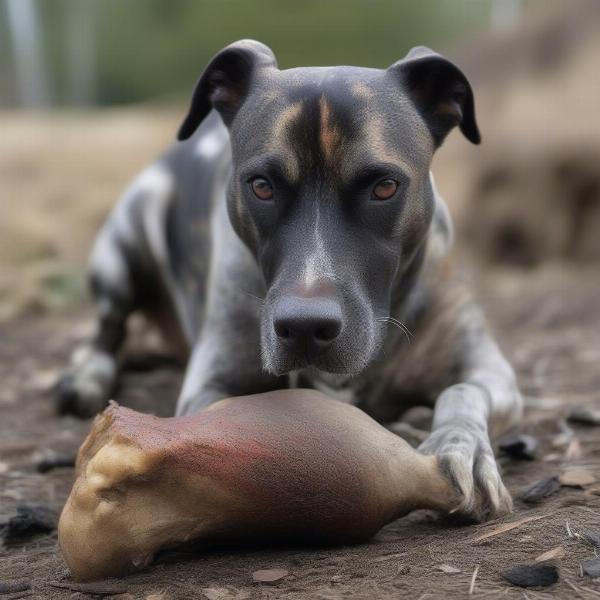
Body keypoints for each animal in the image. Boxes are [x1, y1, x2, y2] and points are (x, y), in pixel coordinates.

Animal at [58, 41, 524, 520]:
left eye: (385, 186)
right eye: (261, 186)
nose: (304, 327)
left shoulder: (491, 371)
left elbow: (463, 391)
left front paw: (461, 447)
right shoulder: (211, 388)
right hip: (124, 243)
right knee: (107, 328)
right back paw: (87, 377)